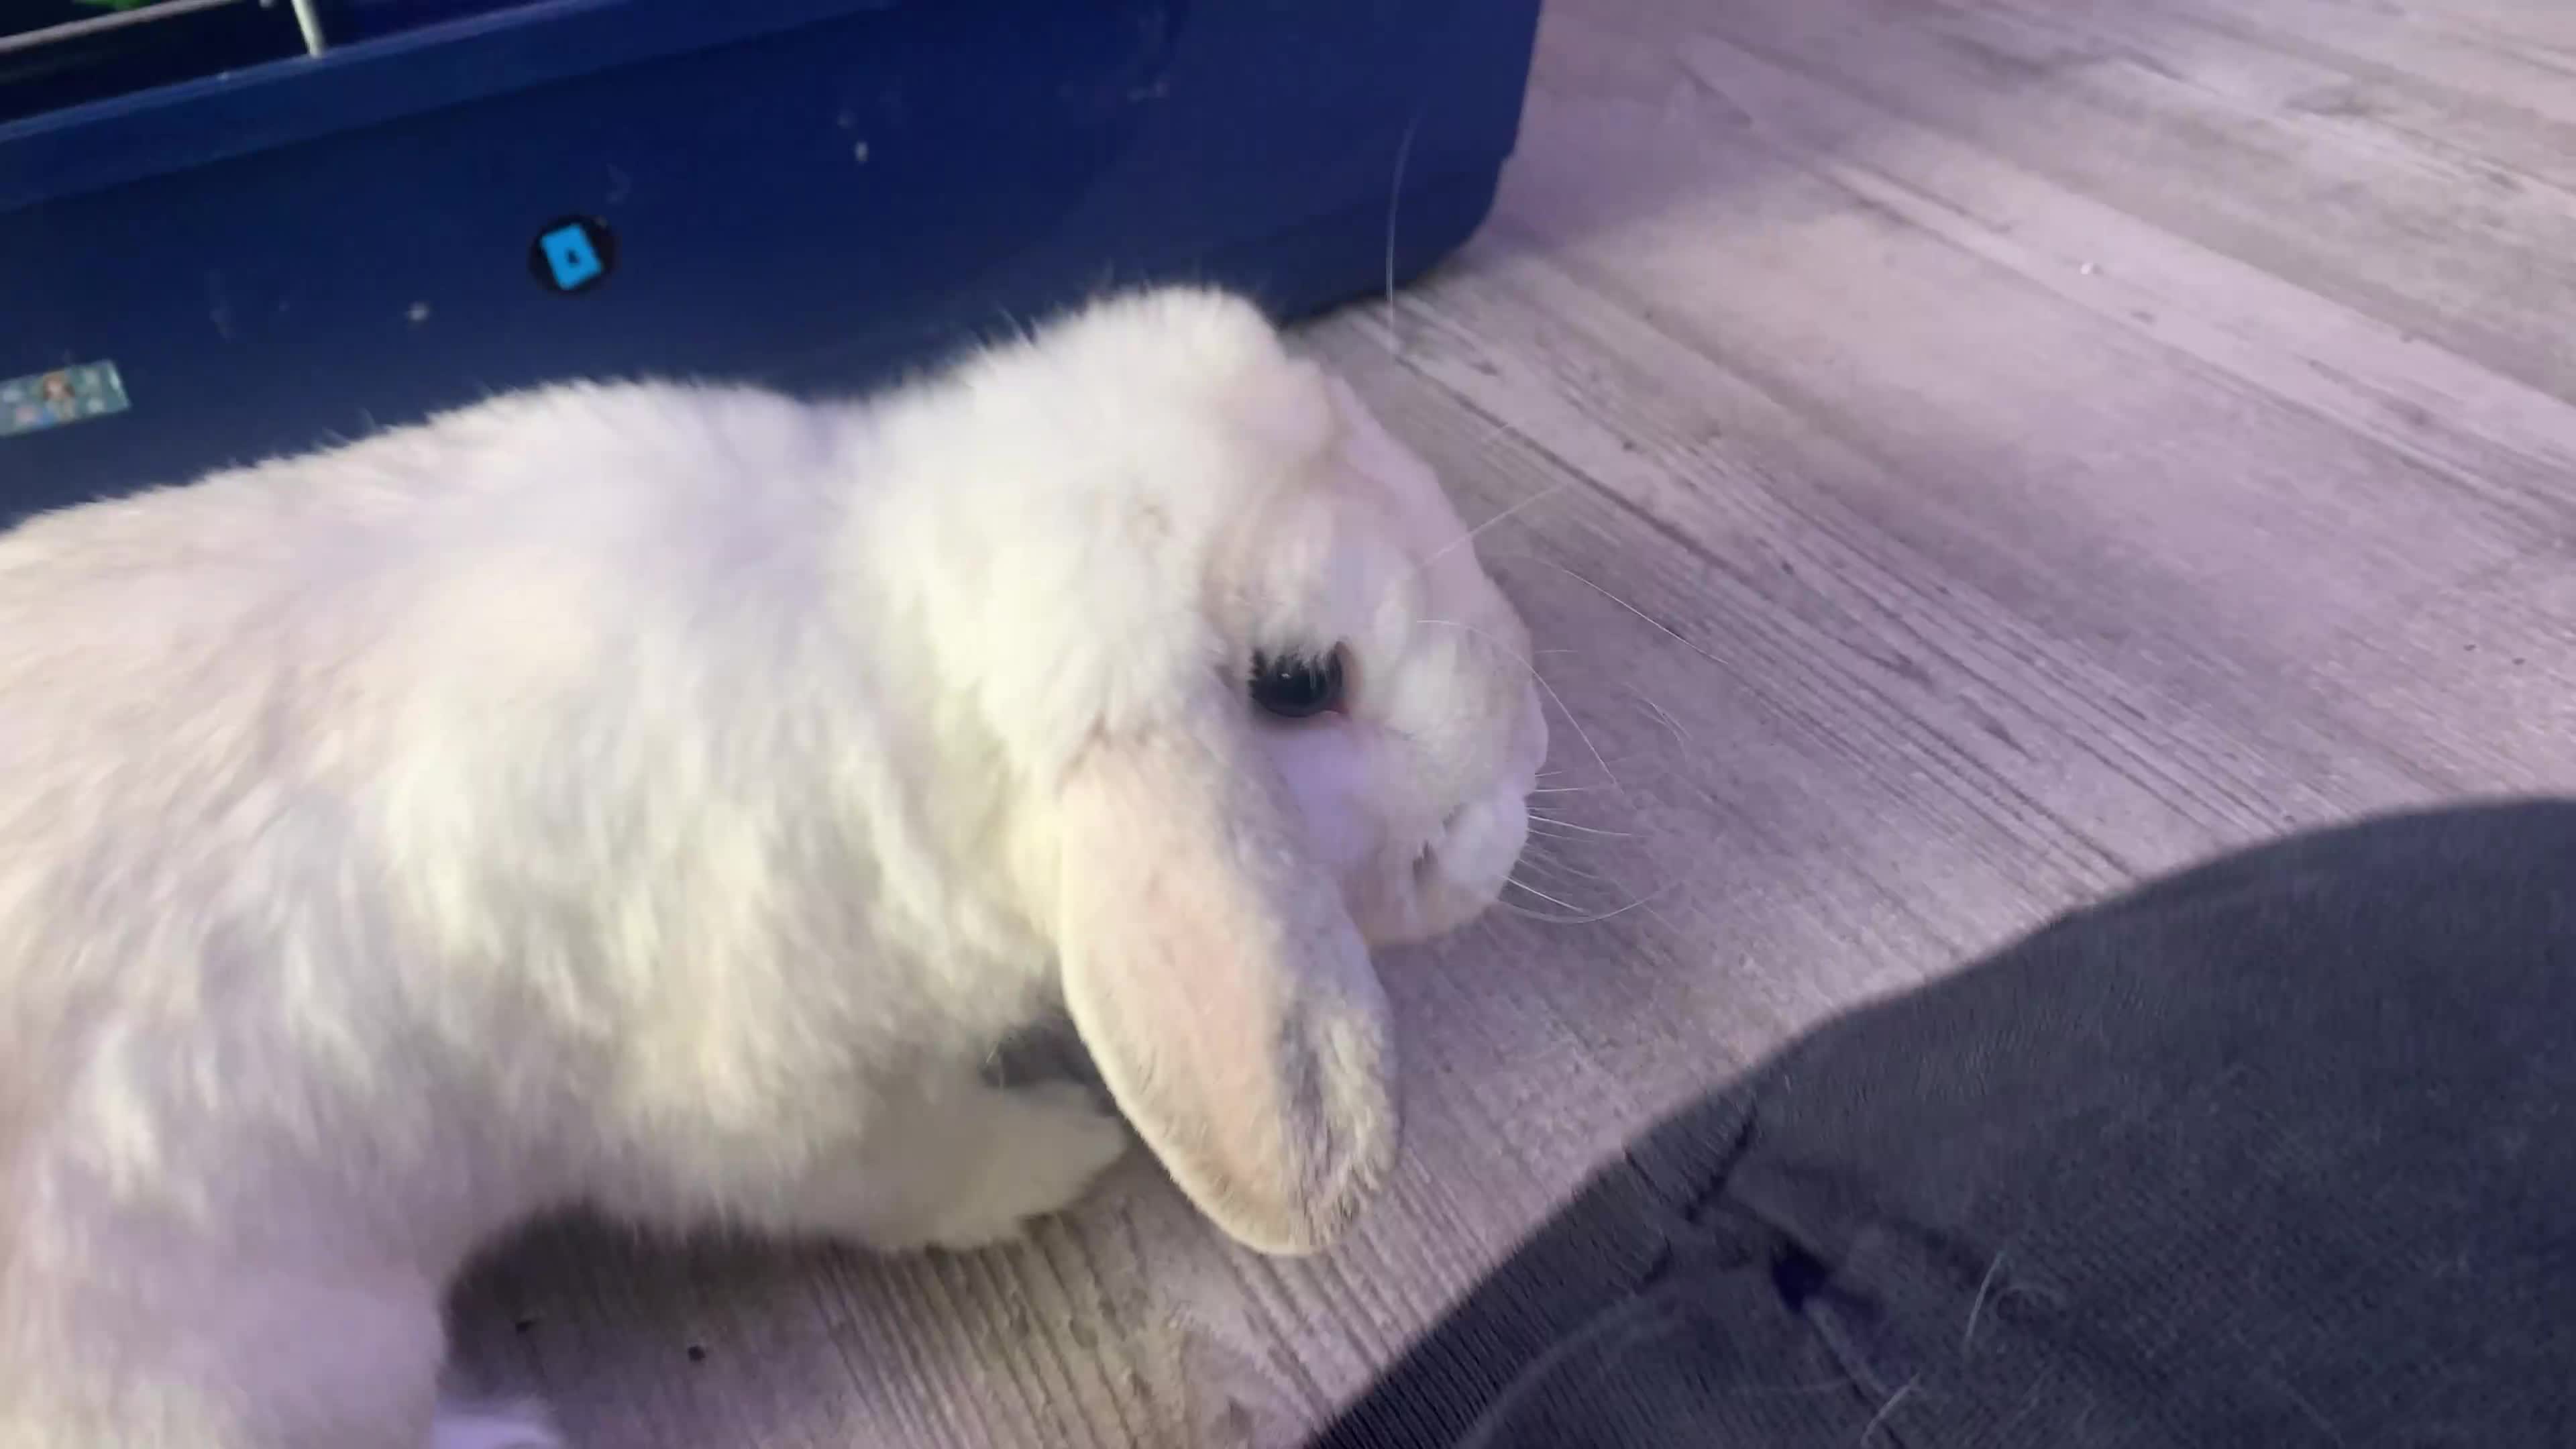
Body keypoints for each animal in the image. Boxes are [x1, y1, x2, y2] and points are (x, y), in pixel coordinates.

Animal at [0, 286, 1549, 1449]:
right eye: (1299, 684)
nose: (1526, 777)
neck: (899, 647)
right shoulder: (783, 1111)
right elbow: (915, 1169)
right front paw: (1062, 1149)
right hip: (301, 1365)